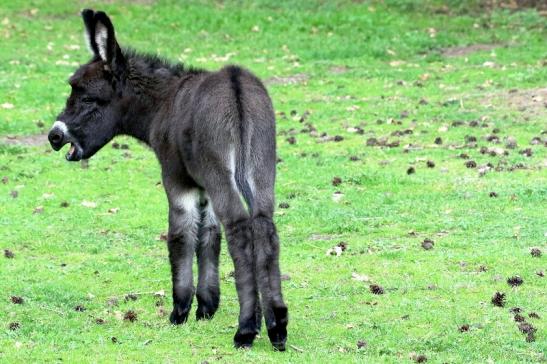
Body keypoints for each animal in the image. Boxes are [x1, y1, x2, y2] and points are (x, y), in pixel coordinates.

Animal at [47, 9, 288, 350]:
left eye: (89, 98)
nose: (54, 137)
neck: (163, 104)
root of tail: (235, 83)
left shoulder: (177, 181)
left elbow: (180, 236)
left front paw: (181, 311)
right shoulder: (203, 188)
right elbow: (209, 237)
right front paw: (207, 307)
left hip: (222, 174)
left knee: (239, 229)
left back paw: (245, 330)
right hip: (262, 169)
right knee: (265, 228)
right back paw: (277, 327)